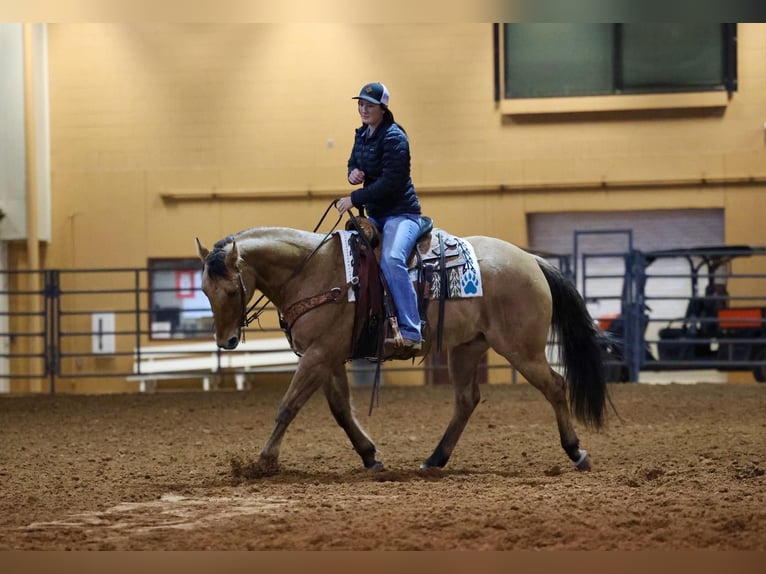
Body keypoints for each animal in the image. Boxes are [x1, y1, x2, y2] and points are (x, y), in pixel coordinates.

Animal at [196, 220, 612, 476]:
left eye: (231, 290)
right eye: (204, 289)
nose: (225, 341)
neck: (313, 272)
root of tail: (531, 261)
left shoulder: (318, 355)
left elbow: (288, 407)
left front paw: (263, 462)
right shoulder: (326, 357)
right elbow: (340, 410)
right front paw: (369, 456)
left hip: (521, 349)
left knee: (555, 386)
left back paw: (576, 451)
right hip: (466, 348)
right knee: (467, 400)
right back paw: (435, 459)